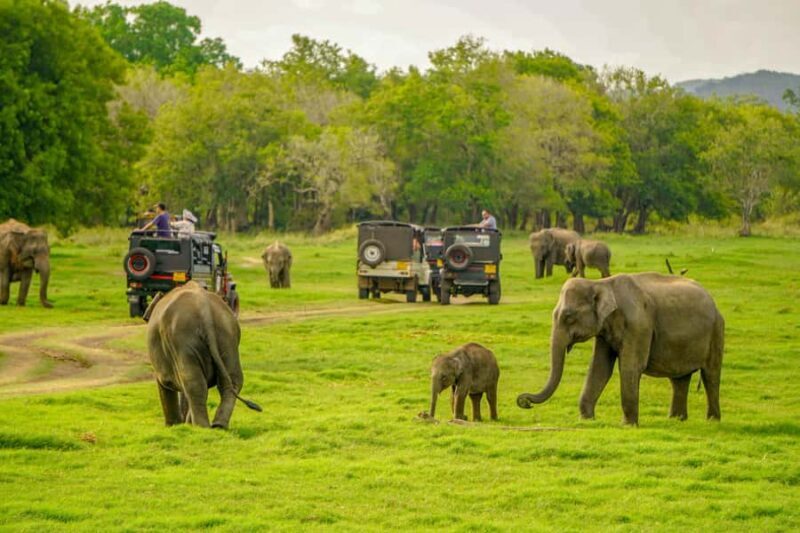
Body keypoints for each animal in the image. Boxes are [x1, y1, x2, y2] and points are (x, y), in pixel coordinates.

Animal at [147, 281, 262, 428]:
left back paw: (201, 427)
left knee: (193, 383)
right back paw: (218, 426)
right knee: (232, 381)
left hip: (184, 341)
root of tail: (205, 312)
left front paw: (174, 426)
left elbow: (164, 384)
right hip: (227, 337)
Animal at [516, 273, 724, 425]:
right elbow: (600, 367)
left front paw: (628, 425)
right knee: (679, 379)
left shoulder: (639, 326)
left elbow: (630, 367)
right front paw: (587, 420)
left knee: (711, 375)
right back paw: (676, 419)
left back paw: (712, 421)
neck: (601, 283)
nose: (524, 402)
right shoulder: (604, 330)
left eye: (569, 316)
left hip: (717, 330)